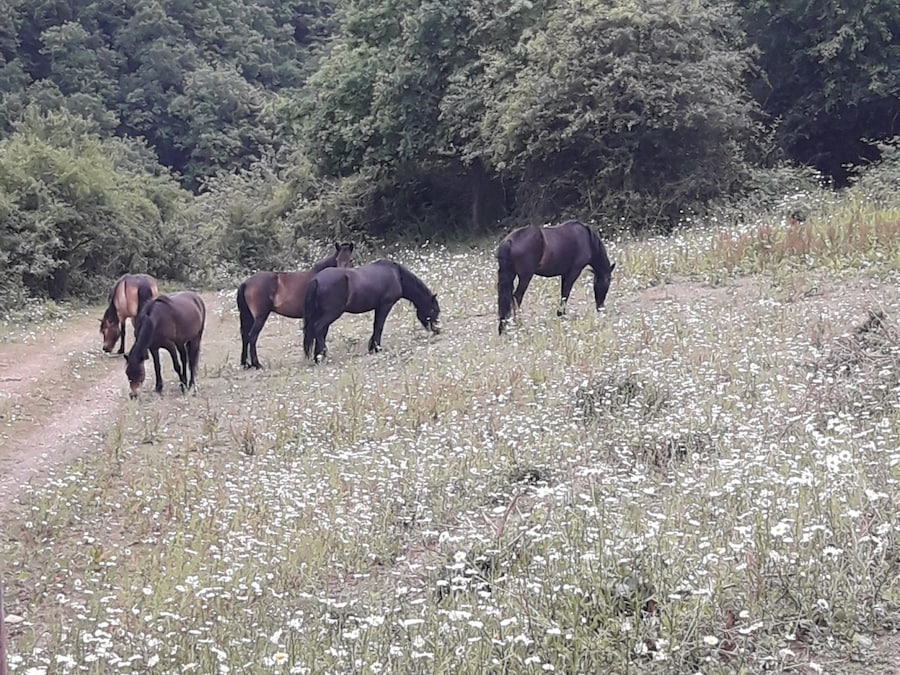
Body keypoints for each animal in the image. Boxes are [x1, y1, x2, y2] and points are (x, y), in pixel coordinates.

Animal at [302, 259, 442, 363]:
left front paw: (372, 347)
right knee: (318, 328)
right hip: (331, 313)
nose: (437, 330)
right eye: (433, 310)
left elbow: (376, 325)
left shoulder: (378, 307)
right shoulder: (385, 305)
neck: (396, 275)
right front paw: (376, 347)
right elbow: (379, 326)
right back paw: (321, 356)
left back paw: (318, 356)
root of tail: (316, 280)